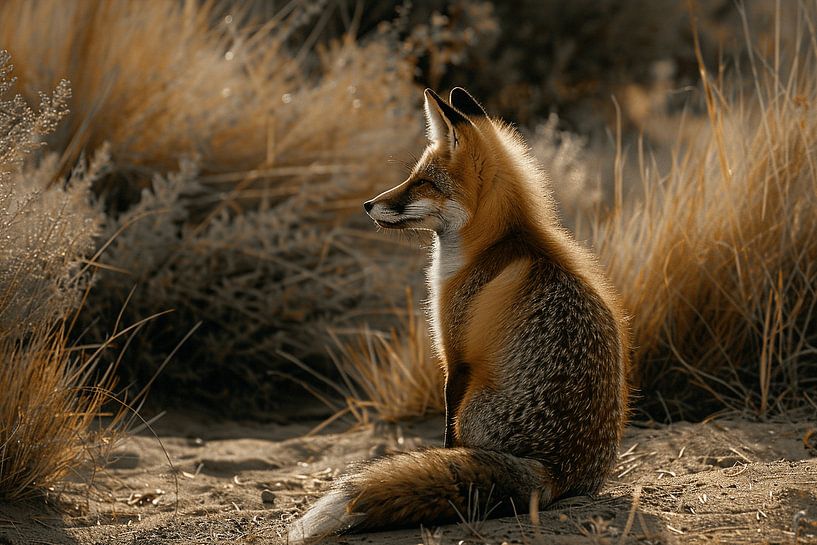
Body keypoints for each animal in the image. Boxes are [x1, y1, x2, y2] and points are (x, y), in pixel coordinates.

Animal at [288, 87, 630, 542]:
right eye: (414, 176)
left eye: (424, 183)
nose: (367, 205)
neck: (488, 247)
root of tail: (556, 472)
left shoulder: (456, 358)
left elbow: (448, 439)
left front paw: (441, 461)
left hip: (473, 402)